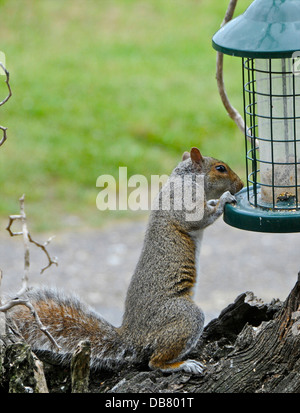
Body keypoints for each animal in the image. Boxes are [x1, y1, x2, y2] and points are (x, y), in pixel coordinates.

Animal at [7, 147, 244, 374]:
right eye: (220, 168)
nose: (241, 184)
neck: (185, 179)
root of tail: (132, 338)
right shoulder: (184, 202)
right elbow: (200, 217)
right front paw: (223, 200)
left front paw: (215, 199)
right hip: (185, 316)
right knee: (154, 362)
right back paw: (182, 365)